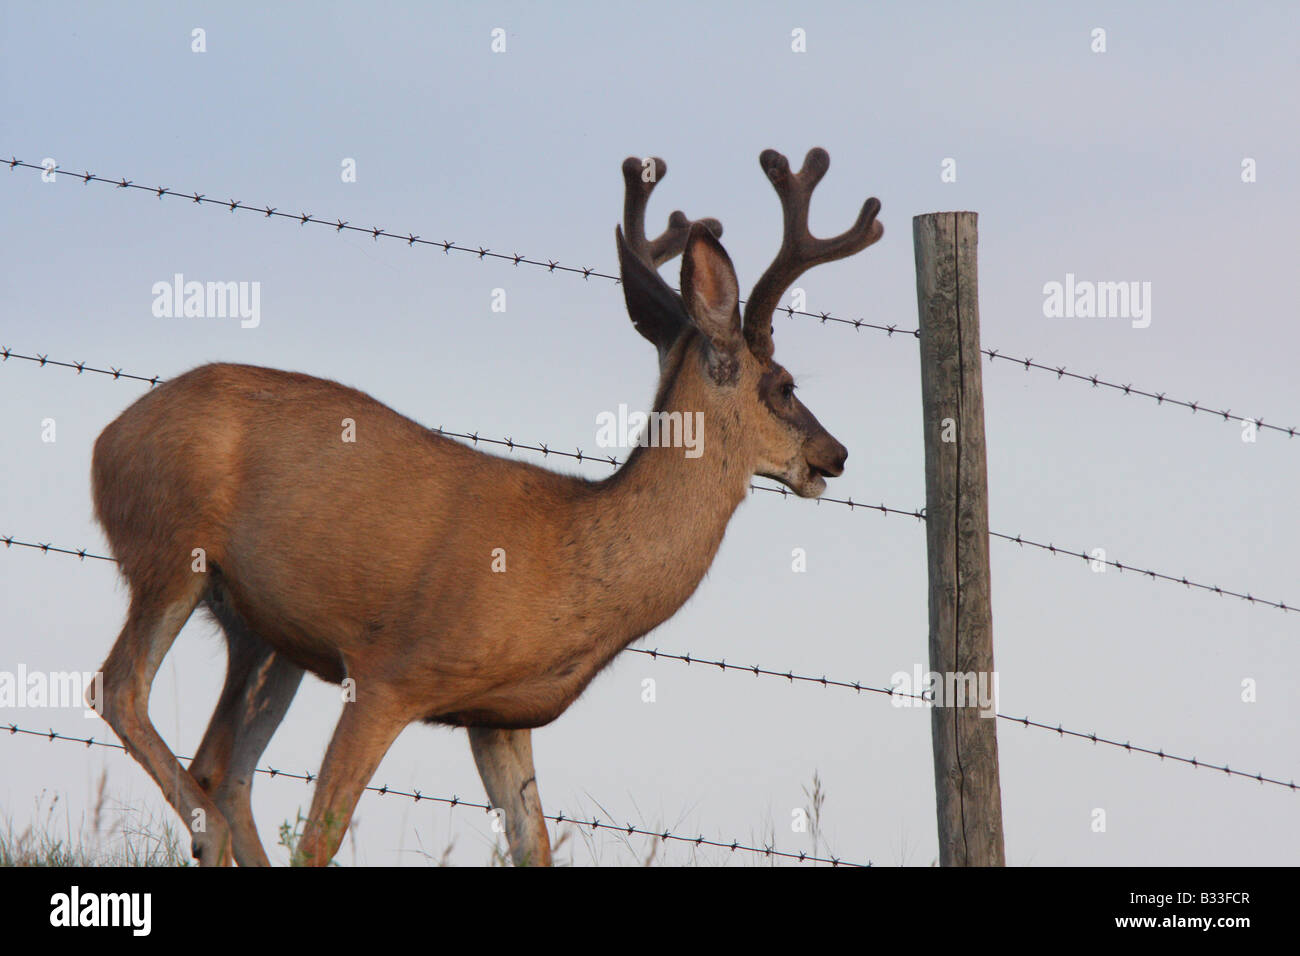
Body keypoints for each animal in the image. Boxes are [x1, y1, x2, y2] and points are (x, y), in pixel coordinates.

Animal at [89, 148, 882, 867]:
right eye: (783, 385)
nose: (837, 453)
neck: (570, 562)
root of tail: (107, 437)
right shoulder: (388, 673)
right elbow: (321, 838)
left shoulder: (500, 716)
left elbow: (534, 846)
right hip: (171, 551)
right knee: (121, 689)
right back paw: (208, 831)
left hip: (264, 635)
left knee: (224, 769)